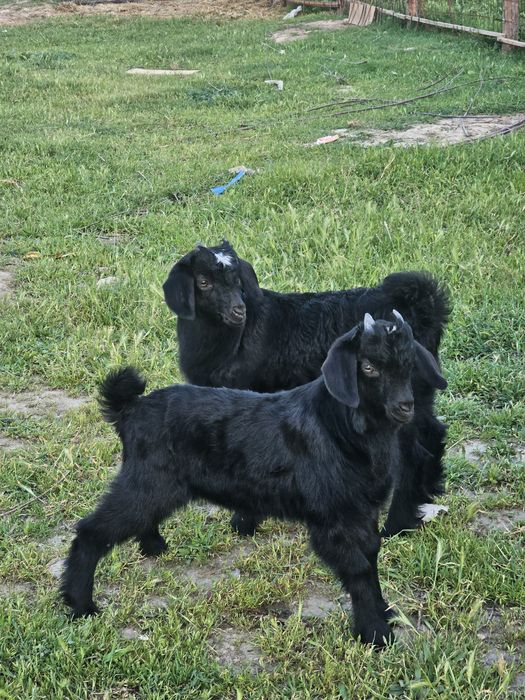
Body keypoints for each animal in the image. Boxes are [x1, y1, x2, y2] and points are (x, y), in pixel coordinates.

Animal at [61, 312, 447, 646]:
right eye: (368, 367)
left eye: (408, 363)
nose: (405, 407)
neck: (339, 426)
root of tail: (131, 409)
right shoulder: (337, 519)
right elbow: (359, 571)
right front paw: (376, 634)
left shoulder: (363, 514)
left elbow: (371, 559)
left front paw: (383, 614)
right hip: (144, 484)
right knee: (90, 532)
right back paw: (80, 604)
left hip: (156, 487)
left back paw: (153, 546)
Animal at [163, 241, 450, 538]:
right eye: (203, 282)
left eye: (238, 281)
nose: (238, 311)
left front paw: (244, 521)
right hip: (418, 394)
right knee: (433, 435)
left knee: (414, 454)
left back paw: (395, 525)